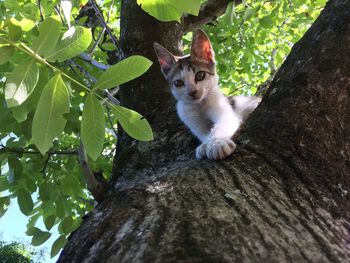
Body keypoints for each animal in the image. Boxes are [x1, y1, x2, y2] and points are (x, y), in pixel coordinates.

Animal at [153, 29, 260, 161]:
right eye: (178, 83)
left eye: (200, 75)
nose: (192, 92)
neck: (200, 105)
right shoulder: (190, 118)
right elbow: (203, 134)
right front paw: (205, 145)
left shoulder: (225, 111)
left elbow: (220, 126)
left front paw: (217, 143)